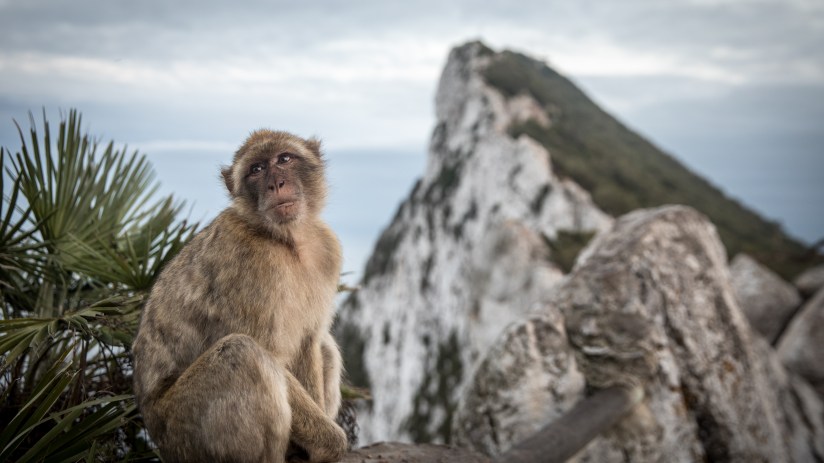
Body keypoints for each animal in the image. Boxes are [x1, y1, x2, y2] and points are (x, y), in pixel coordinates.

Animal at [132, 130, 348, 463]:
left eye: (284, 158)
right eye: (256, 169)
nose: (276, 184)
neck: (286, 241)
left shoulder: (327, 249)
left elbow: (309, 342)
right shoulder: (248, 263)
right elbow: (268, 353)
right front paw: (331, 443)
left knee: (323, 346)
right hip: (184, 434)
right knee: (242, 353)